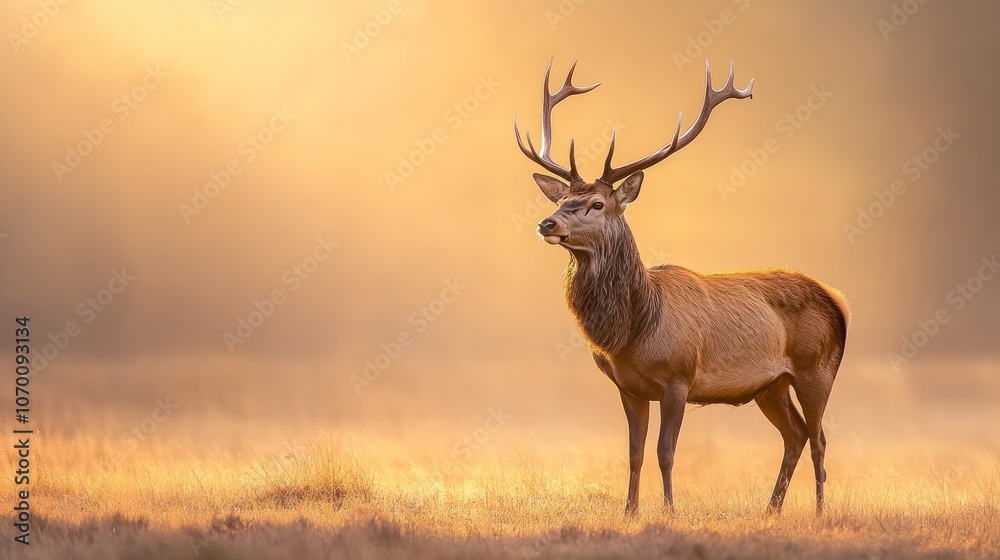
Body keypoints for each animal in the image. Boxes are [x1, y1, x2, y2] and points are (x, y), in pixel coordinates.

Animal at [513, 59, 849, 516]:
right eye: (562, 199)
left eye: (596, 204)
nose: (547, 223)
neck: (633, 331)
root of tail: (838, 301)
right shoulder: (629, 387)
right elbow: (634, 453)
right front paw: (630, 512)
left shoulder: (679, 378)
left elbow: (665, 452)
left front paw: (670, 511)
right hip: (771, 385)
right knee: (795, 435)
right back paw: (771, 510)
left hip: (818, 369)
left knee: (819, 439)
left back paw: (817, 511)